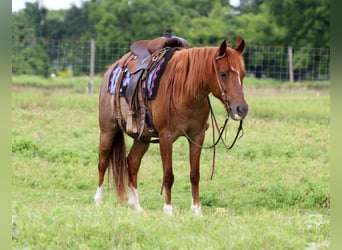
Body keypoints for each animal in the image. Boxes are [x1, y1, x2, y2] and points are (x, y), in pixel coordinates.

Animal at [93, 37, 248, 215]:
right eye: (223, 74)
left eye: (242, 74)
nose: (242, 109)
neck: (186, 89)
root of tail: (113, 67)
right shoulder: (166, 137)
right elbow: (168, 175)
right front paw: (168, 209)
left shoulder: (197, 136)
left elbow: (195, 174)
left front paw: (197, 210)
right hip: (108, 129)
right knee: (103, 161)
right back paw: (98, 200)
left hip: (143, 137)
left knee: (132, 162)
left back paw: (136, 206)